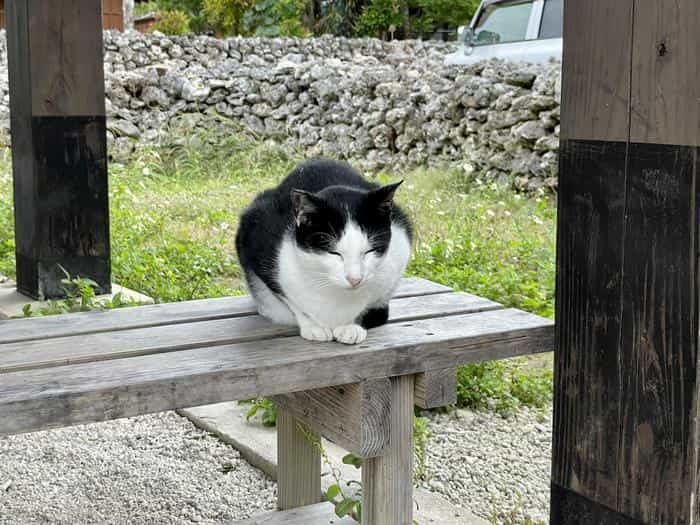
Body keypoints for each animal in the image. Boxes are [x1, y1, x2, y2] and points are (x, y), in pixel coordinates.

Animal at [235, 159, 412, 344]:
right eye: (334, 253)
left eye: (370, 251)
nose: (355, 279)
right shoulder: (256, 238)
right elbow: (290, 300)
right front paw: (313, 326)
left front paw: (351, 326)